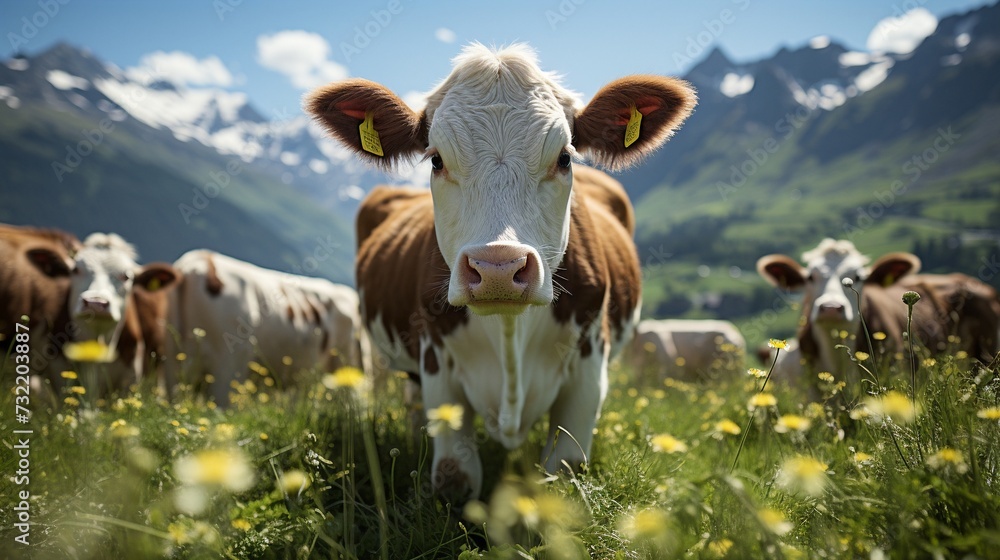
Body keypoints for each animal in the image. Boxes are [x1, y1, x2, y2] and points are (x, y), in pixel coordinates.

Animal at [306, 43, 696, 501]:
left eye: (565, 158)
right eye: (436, 160)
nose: (497, 267)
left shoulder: (588, 368)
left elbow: (565, 470)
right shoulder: (437, 365)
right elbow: (454, 476)